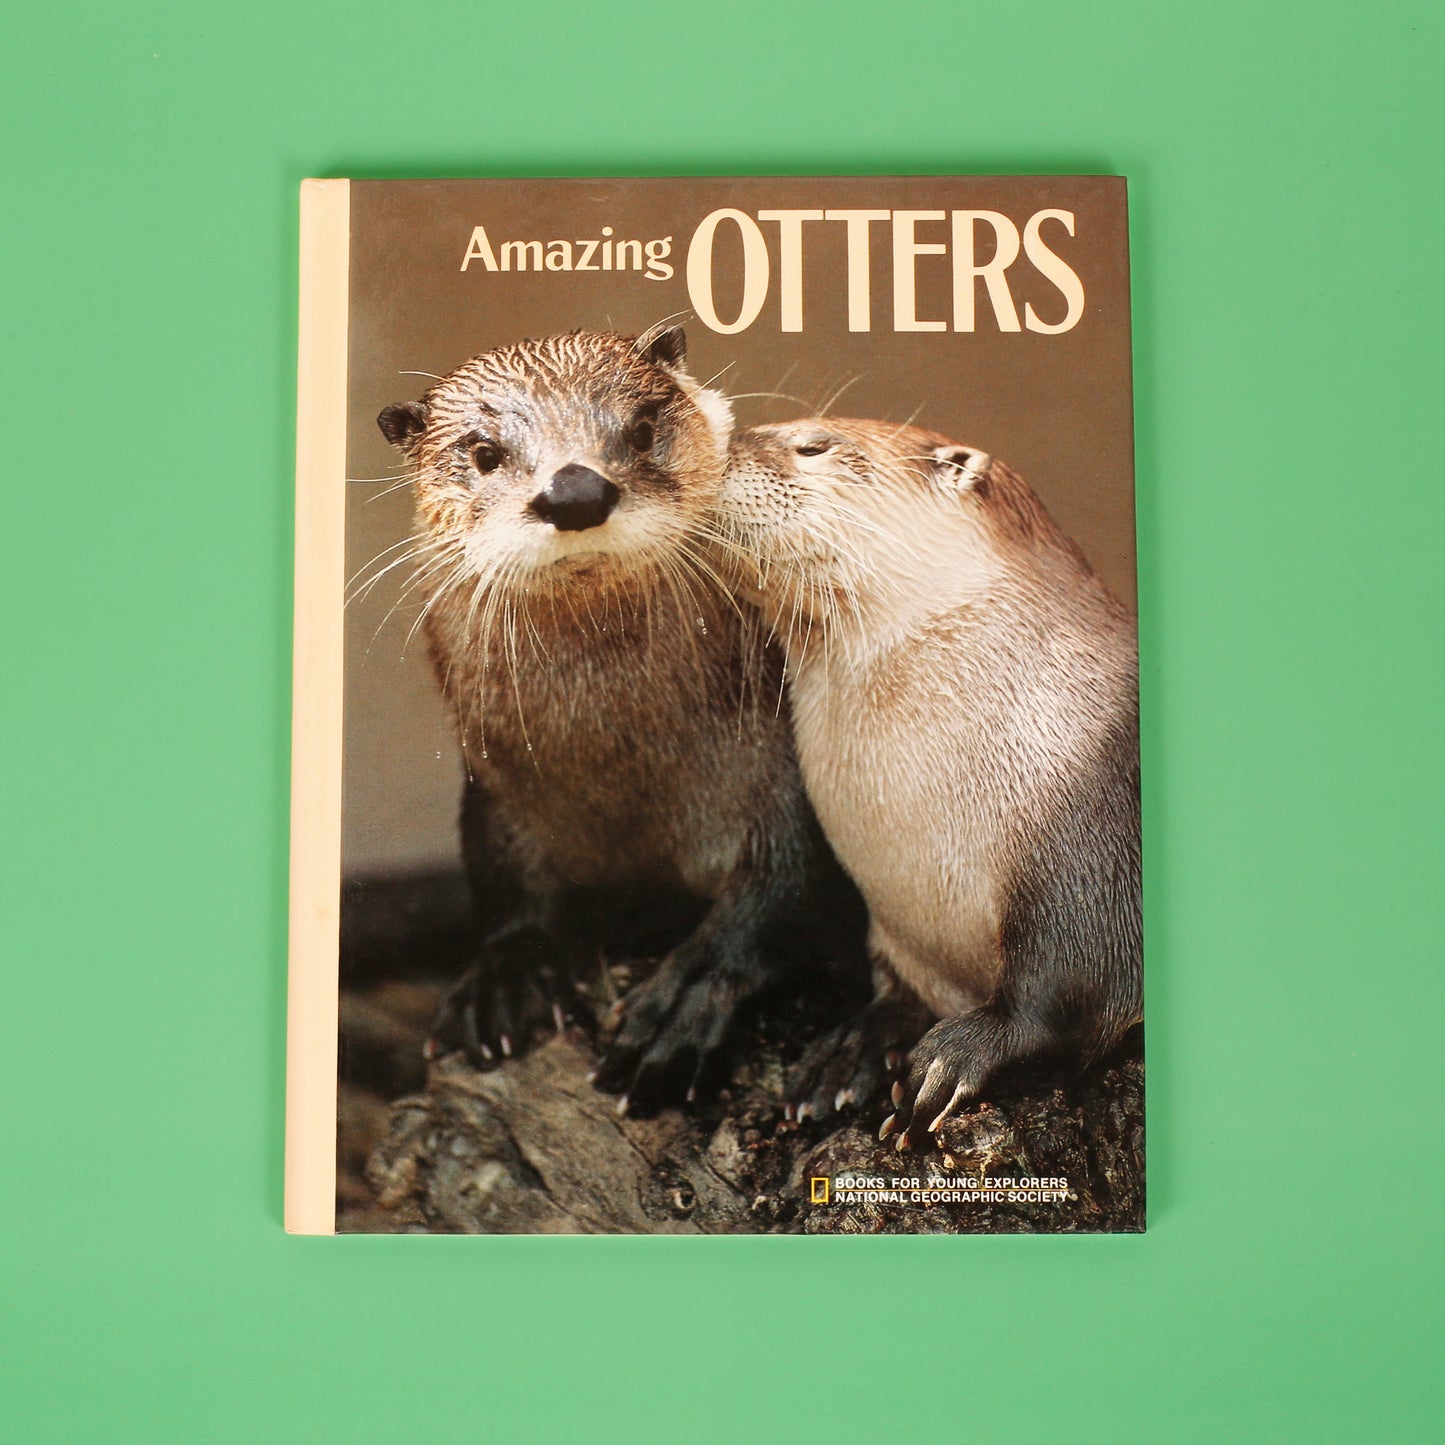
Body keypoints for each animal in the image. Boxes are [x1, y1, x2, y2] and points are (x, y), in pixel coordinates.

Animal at [372, 329, 865, 1114]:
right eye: (484, 452)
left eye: (639, 429)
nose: (574, 489)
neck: (627, 789)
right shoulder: (498, 789)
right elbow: (499, 878)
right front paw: (504, 977)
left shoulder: (785, 772)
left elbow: (789, 884)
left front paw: (684, 999)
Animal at [707, 418, 1141, 1148]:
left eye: (813, 444)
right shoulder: (901, 931)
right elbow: (899, 991)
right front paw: (850, 1051)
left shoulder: (1092, 851)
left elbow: (1069, 996)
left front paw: (953, 1057)